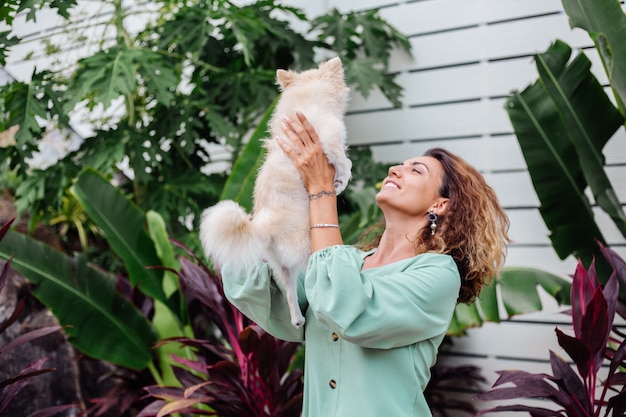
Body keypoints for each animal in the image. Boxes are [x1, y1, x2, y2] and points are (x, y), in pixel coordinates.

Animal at [199, 57, 348, 326]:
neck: (305, 101)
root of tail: (261, 227)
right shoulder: (330, 140)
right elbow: (343, 160)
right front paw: (343, 180)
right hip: (306, 246)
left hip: (279, 266)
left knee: (289, 289)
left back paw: (297, 318)